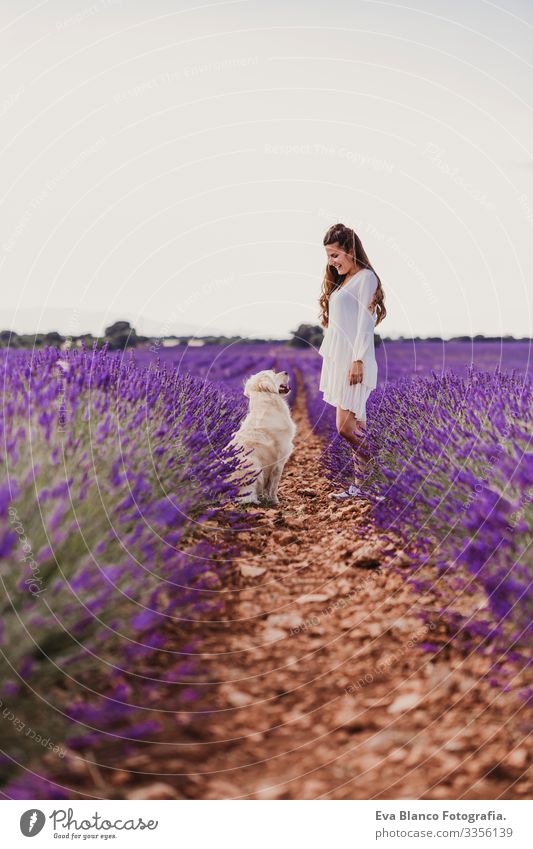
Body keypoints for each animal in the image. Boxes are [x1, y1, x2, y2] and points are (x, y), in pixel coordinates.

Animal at [228, 366, 298, 500]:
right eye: (273, 374)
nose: (286, 372)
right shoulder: (281, 456)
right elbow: (274, 483)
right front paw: (275, 500)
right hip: (255, 468)